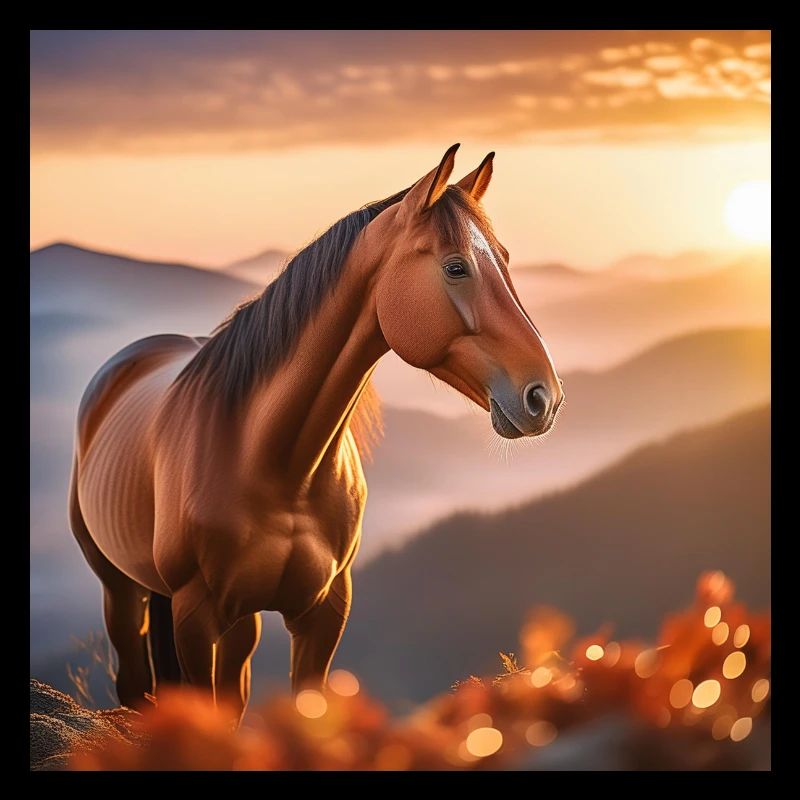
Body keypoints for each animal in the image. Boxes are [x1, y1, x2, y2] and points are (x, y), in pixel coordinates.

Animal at [69, 144, 564, 724]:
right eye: (456, 266)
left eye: (504, 259)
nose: (544, 397)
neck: (277, 461)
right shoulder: (195, 616)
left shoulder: (324, 614)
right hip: (123, 591)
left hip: (237, 620)